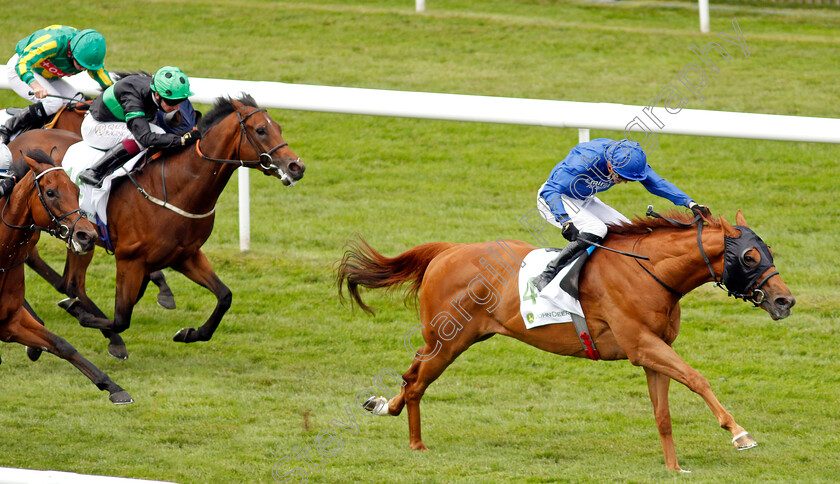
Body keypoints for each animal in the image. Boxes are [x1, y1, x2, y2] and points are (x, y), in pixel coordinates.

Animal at [0, 148, 131, 404]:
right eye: (50, 192)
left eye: (76, 189)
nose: (87, 235)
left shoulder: (10, 321)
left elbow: (62, 345)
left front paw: (113, 387)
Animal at [4, 94, 306, 360]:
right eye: (261, 130)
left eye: (279, 127)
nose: (296, 166)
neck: (176, 185)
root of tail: (20, 140)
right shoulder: (130, 259)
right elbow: (121, 318)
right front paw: (87, 319)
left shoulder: (186, 255)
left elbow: (224, 296)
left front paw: (190, 333)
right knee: (65, 280)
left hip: (74, 235)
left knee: (64, 278)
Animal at [336, 210, 796, 470]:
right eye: (749, 257)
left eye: (769, 252)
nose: (785, 300)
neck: (652, 272)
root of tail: (448, 250)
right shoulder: (642, 346)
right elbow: (698, 378)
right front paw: (739, 432)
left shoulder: (654, 351)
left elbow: (663, 414)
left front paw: (672, 468)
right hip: (448, 341)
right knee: (417, 380)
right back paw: (415, 443)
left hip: (448, 340)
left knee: (410, 372)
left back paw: (382, 405)